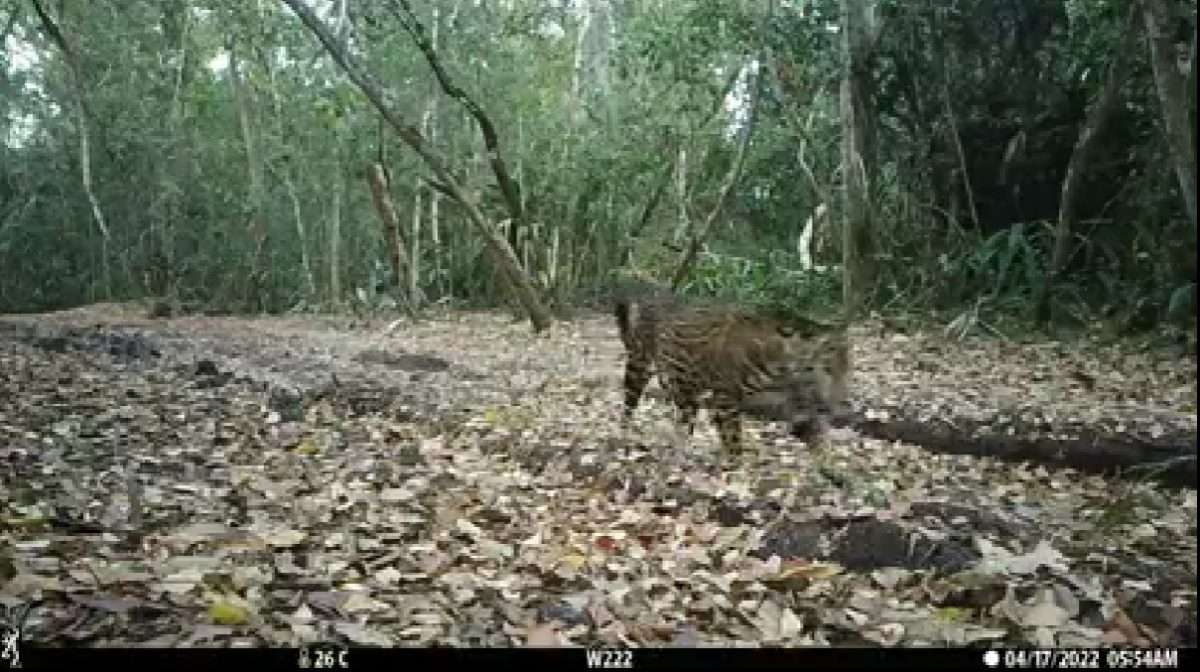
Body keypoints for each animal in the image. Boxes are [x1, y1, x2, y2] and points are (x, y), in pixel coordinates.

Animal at [613, 291, 851, 459]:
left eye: (847, 368)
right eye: (826, 368)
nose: (839, 400)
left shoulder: (795, 406)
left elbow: (815, 437)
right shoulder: (726, 399)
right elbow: (734, 441)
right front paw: (735, 475)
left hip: (683, 383)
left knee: (685, 418)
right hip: (639, 366)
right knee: (628, 408)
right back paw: (625, 438)